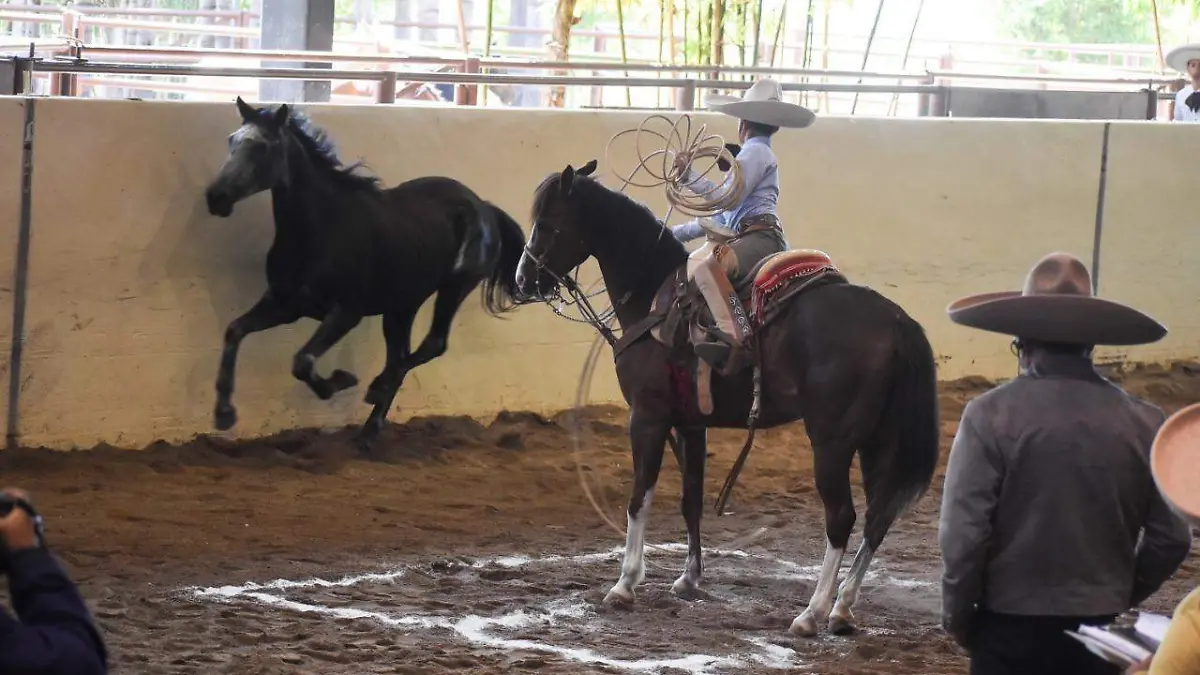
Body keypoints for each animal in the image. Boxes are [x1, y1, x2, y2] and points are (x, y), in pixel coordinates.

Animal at [205, 96, 525, 441]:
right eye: (232, 141)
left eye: (263, 146)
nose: (216, 197)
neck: (319, 229)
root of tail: (484, 207)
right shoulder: (284, 304)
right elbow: (235, 330)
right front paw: (224, 414)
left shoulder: (347, 311)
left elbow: (303, 361)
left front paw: (342, 380)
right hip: (402, 304)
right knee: (402, 353)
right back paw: (372, 426)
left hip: (454, 287)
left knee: (431, 345)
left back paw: (376, 389)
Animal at [520, 81, 940, 634]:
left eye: (547, 224)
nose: (522, 280)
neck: (652, 296)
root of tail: (896, 321)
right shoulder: (689, 422)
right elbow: (690, 496)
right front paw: (688, 579)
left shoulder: (647, 416)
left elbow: (639, 496)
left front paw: (625, 584)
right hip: (879, 440)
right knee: (879, 515)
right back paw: (843, 608)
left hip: (832, 441)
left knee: (843, 517)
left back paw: (811, 612)